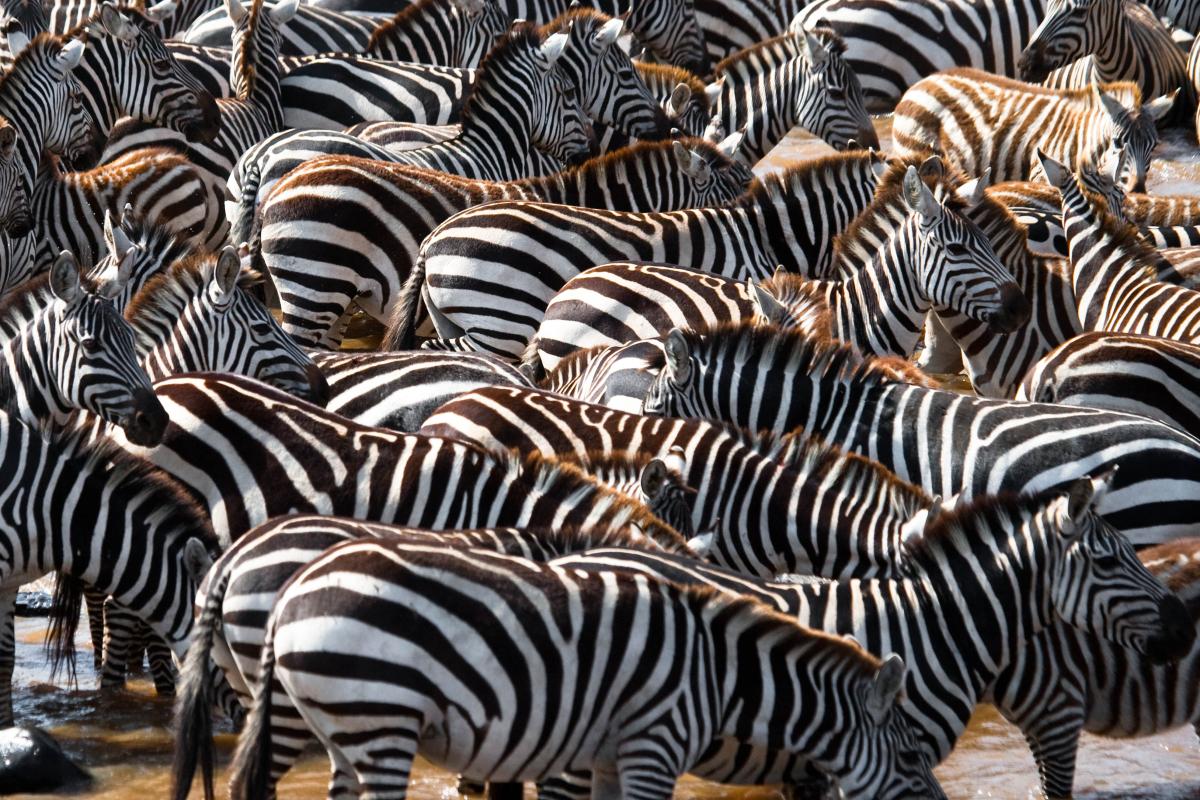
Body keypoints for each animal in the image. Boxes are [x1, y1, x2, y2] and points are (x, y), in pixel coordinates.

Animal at [228, 541, 938, 800]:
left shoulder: (610, 755)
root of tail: (292, 592)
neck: (718, 672)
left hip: (341, 726)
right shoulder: (655, 744)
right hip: (380, 721)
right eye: (911, 758)